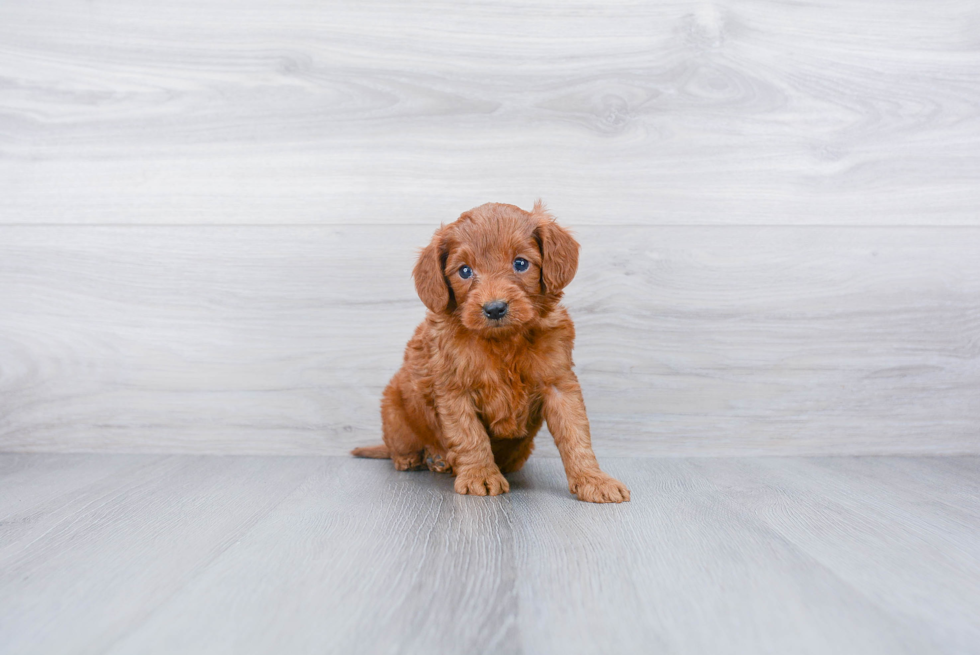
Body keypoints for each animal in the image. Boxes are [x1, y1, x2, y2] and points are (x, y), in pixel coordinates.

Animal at [352, 202, 628, 504]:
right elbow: (469, 435)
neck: (503, 341)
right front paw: (480, 475)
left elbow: (576, 433)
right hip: (393, 407)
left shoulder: (559, 384)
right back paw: (420, 458)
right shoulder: (454, 389)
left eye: (520, 263)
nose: (494, 308)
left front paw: (593, 479)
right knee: (398, 447)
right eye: (464, 271)